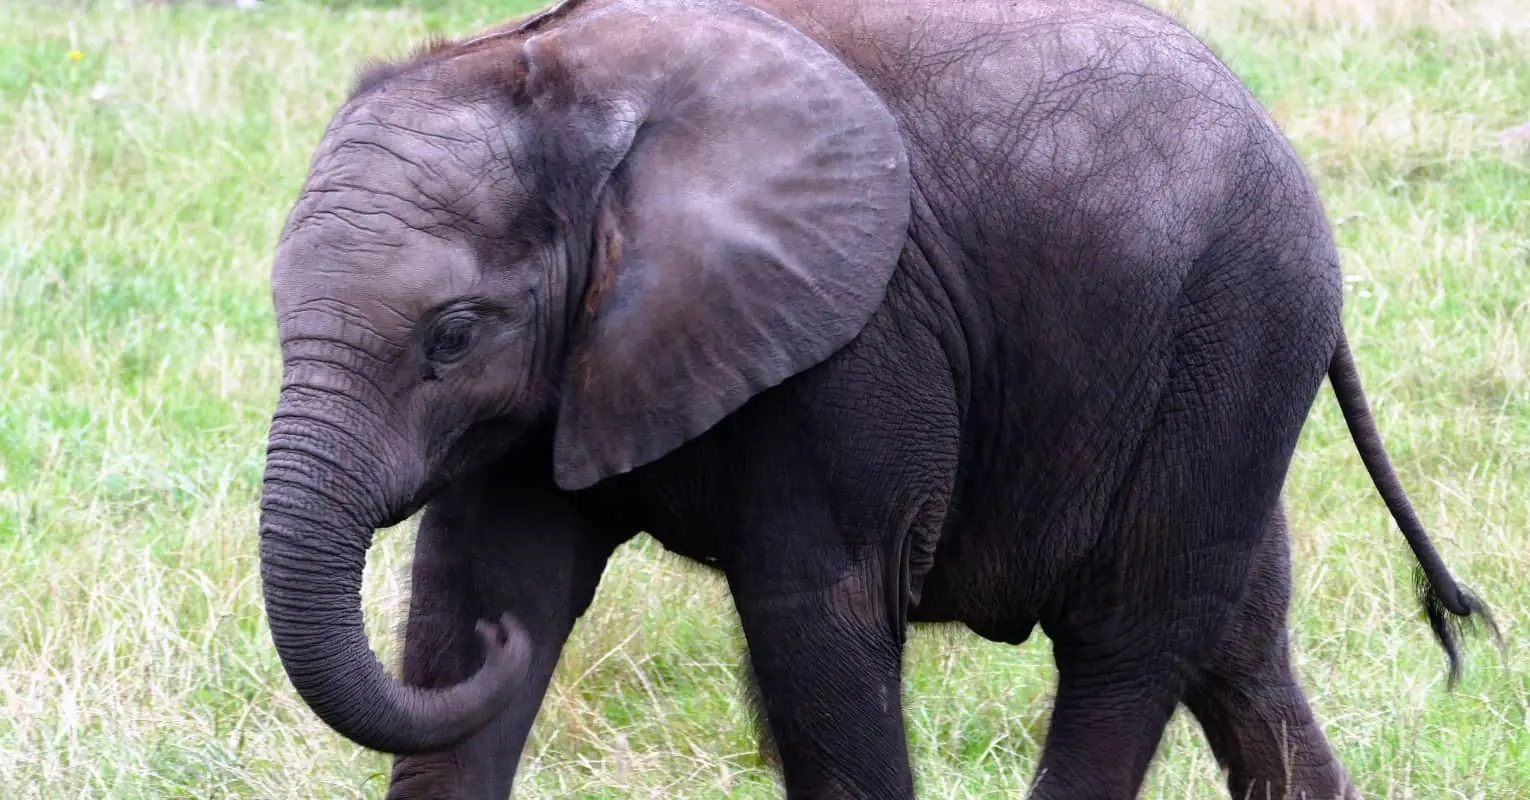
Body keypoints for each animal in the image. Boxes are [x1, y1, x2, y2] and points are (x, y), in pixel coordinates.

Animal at [256, 0, 1497, 797]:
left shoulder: (858, 344)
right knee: (1237, 644)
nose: (505, 650)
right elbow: (484, 580)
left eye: (452, 335)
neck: (570, 86)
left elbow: (820, 617)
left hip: (1234, 330)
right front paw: (496, 627)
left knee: (1129, 640)